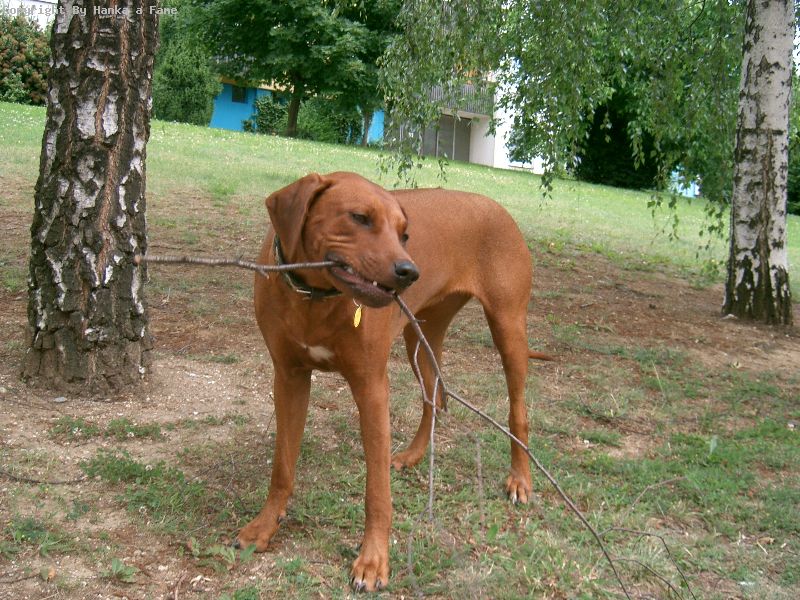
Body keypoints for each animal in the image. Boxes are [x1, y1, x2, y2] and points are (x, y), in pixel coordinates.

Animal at [237, 172, 547, 591]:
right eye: (359, 217)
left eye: (404, 233)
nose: (409, 272)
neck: (315, 296)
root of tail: (496, 205)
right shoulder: (289, 378)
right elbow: (282, 467)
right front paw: (265, 526)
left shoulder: (372, 389)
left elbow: (377, 493)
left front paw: (372, 561)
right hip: (422, 334)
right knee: (433, 399)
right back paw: (415, 455)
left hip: (508, 327)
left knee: (518, 410)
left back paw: (520, 479)